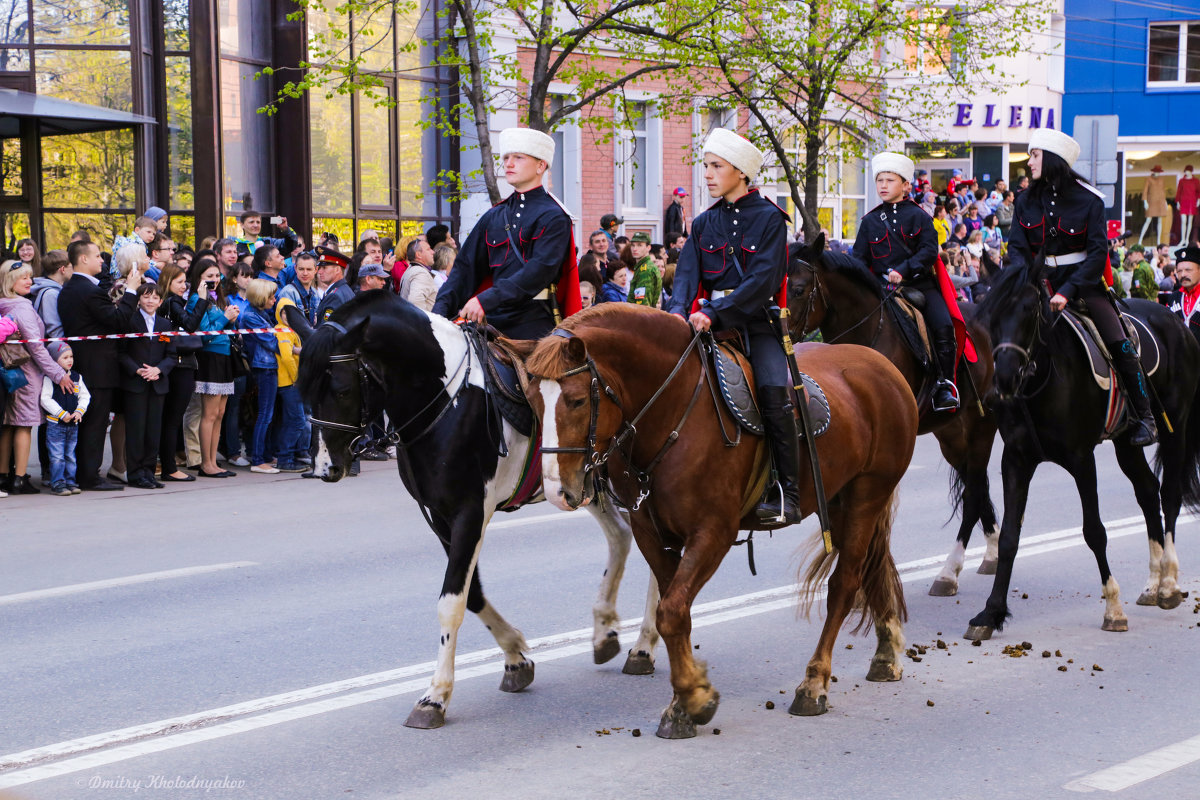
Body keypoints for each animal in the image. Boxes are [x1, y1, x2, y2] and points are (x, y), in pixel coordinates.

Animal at [296, 291, 662, 729]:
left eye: (341, 390)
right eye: (302, 390)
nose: (324, 468)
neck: (445, 400)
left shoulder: (470, 513)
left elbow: (451, 603)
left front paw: (435, 696)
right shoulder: (440, 516)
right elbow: (471, 595)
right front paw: (516, 657)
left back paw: (644, 645)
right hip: (580, 485)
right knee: (621, 536)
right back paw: (605, 629)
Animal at [525, 304, 916, 738]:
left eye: (576, 401)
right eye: (533, 401)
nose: (558, 491)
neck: (672, 411)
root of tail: (882, 366)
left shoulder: (712, 532)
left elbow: (671, 612)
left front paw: (693, 700)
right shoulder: (651, 534)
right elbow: (674, 613)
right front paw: (685, 699)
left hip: (869, 493)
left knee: (844, 584)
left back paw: (814, 683)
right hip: (842, 499)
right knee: (872, 568)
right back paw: (886, 654)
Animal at [787, 235, 1003, 597]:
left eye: (799, 289)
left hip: (982, 426)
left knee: (974, 491)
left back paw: (950, 572)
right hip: (952, 435)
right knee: (978, 487)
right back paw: (991, 553)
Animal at [964, 263, 1200, 642]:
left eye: (1030, 310)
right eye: (988, 315)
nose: (1003, 382)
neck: (1041, 379)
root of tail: (1176, 321)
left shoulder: (1081, 459)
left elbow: (1094, 532)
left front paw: (1113, 608)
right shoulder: (1015, 459)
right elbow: (1010, 537)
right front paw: (990, 612)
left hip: (1174, 429)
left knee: (1170, 495)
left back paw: (1167, 584)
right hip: (1126, 442)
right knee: (1148, 492)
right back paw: (1152, 583)